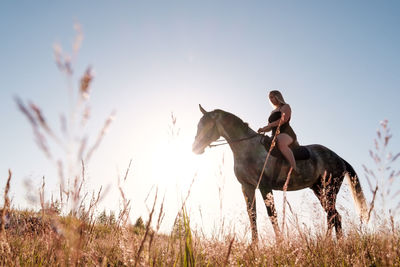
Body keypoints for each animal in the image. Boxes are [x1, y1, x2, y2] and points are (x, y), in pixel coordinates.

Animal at [192, 105, 368, 244]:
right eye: (198, 125)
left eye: (207, 125)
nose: (195, 148)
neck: (247, 148)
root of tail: (339, 158)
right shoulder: (247, 187)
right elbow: (252, 216)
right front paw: (254, 246)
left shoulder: (264, 187)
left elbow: (272, 215)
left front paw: (279, 243)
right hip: (319, 190)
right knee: (334, 216)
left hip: (329, 190)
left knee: (333, 216)